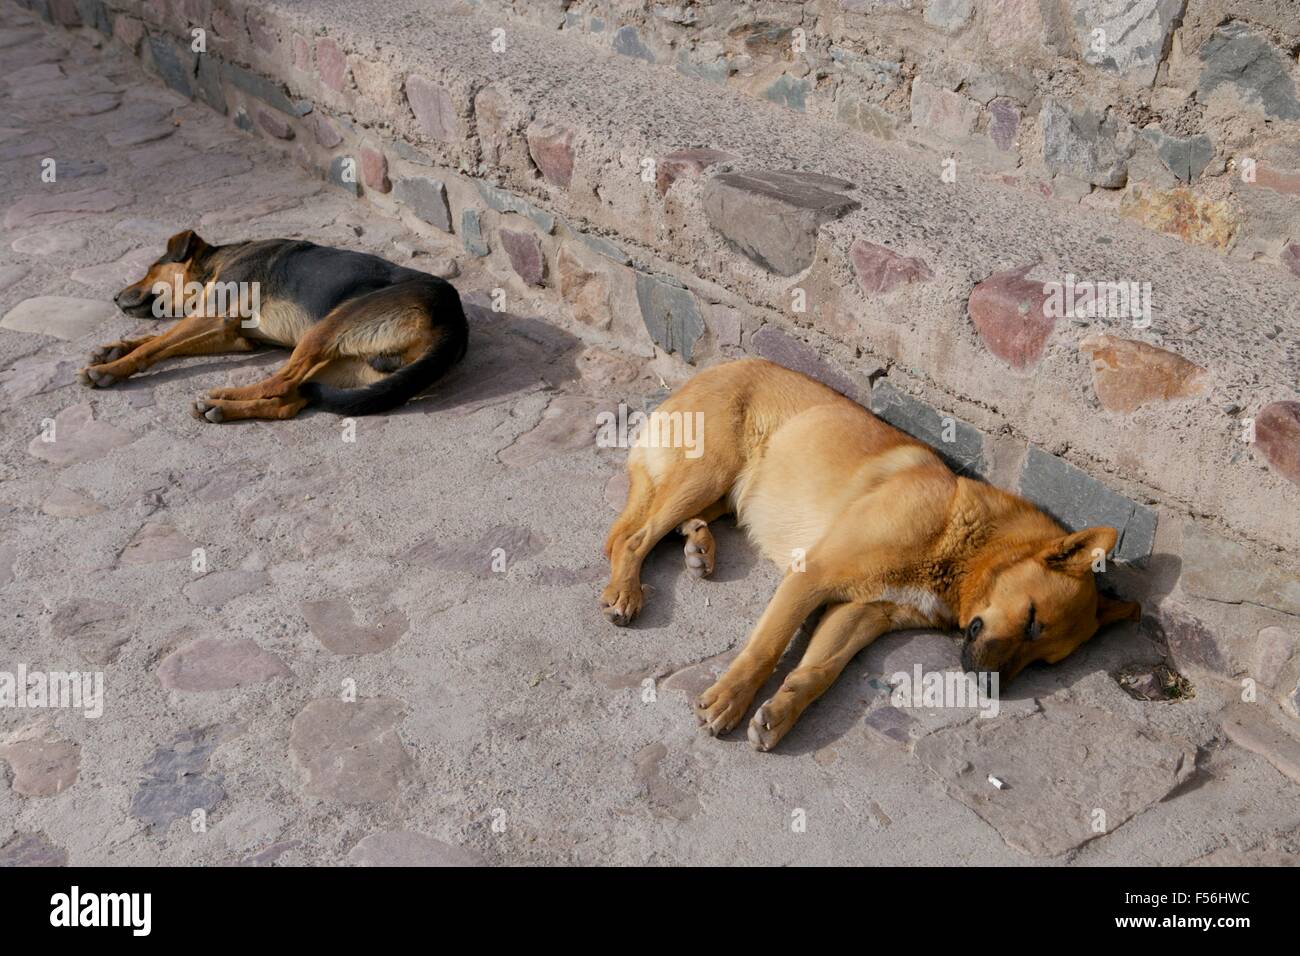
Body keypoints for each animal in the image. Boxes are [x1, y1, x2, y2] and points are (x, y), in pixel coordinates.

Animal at [79, 230, 467, 421]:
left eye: (150, 269)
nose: (114, 297)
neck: (220, 260)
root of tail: (455, 321)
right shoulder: (233, 336)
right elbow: (156, 341)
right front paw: (113, 349)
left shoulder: (213, 316)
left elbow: (154, 345)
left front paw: (111, 369)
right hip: (351, 367)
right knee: (289, 399)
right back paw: (226, 410)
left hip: (327, 328)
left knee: (279, 382)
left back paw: (224, 397)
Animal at [598, 356, 1138, 749]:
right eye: (1030, 620)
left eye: (1045, 663)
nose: (990, 689)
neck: (965, 545)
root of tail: (713, 369)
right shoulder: (812, 576)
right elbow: (766, 649)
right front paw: (732, 699)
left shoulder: (861, 612)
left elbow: (821, 671)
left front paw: (782, 711)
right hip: (710, 473)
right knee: (630, 537)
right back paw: (627, 589)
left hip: (725, 493)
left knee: (660, 526)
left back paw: (699, 545)